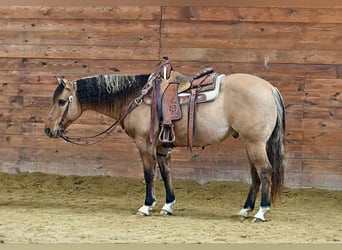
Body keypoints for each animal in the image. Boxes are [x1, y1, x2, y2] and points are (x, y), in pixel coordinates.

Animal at [45, 59, 286, 223]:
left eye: (61, 101)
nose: (48, 129)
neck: (136, 96)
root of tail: (270, 89)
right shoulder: (161, 147)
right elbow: (165, 173)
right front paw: (168, 205)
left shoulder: (144, 144)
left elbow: (149, 174)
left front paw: (146, 206)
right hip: (250, 144)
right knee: (255, 175)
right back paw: (245, 210)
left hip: (255, 143)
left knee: (265, 171)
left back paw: (261, 212)